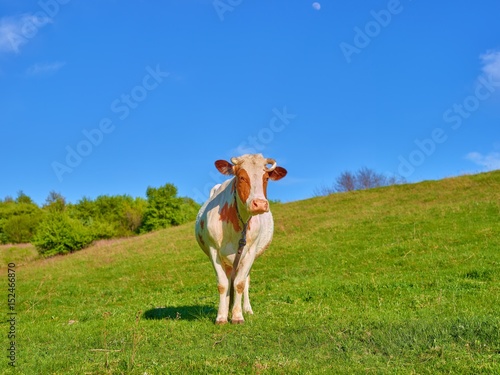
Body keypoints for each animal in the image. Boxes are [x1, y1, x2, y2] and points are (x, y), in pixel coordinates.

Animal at [196, 154, 288, 324]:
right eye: (241, 177)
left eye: (266, 178)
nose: (260, 204)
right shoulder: (213, 250)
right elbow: (223, 285)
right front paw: (221, 316)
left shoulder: (250, 251)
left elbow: (239, 283)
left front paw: (237, 316)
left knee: (244, 281)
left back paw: (246, 309)